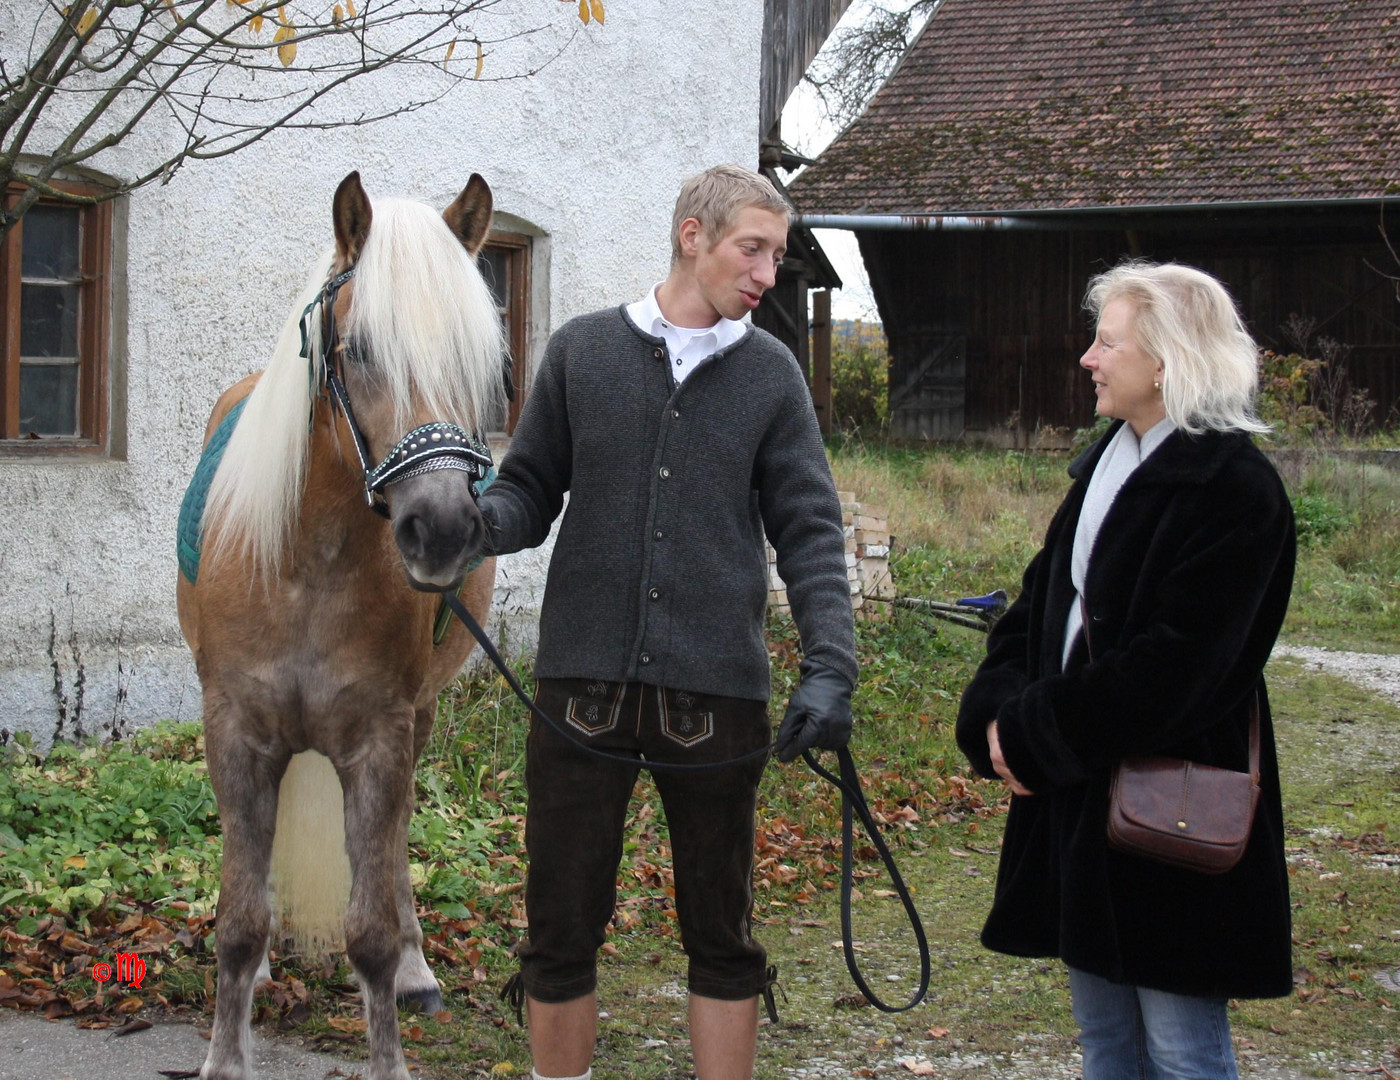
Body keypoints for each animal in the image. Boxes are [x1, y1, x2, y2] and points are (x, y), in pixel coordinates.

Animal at [174, 170, 504, 1080]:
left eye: (482, 364)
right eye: (357, 351)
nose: (444, 530)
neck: (308, 564)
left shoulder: (379, 738)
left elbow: (371, 933)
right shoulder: (236, 732)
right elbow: (238, 919)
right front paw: (226, 1053)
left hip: (418, 718)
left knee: (393, 849)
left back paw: (421, 970)